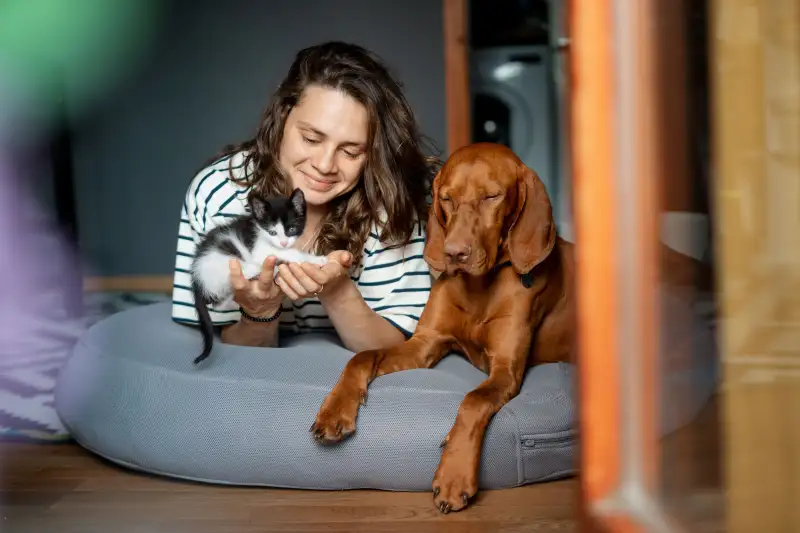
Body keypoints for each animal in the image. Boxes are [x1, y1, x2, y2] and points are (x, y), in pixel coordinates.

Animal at [190, 185, 324, 364]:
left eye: (291, 229)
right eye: (272, 232)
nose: (283, 242)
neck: (261, 231)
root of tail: (197, 279)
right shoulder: (260, 250)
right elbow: (290, 253)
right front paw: (317, 259)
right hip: (225, 258)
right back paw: (259, 271)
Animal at [308, 141, 576, 512]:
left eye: (492, 196)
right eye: (447, 198)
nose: (454, 253)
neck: (481, 286)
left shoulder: (506, 370)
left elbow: (473, 400)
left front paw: (454, 475)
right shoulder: (424, 343)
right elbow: (362, 357)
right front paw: (335, 410)